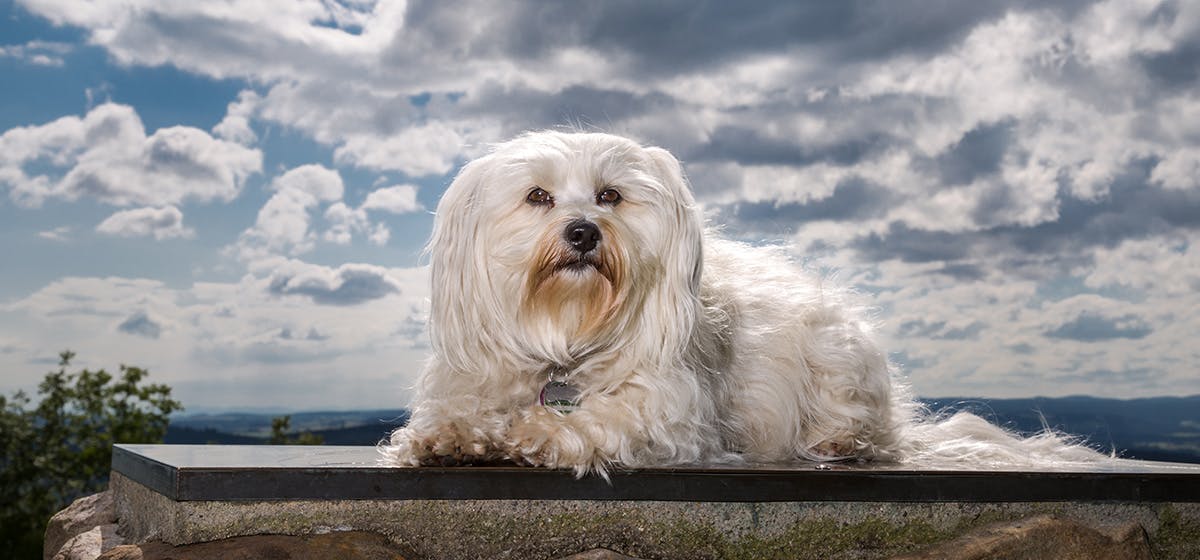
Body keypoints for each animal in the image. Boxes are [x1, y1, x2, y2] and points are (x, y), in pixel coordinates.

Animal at [386, 132, 1104, 477]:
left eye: (611, 195)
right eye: (538, 197)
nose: (584, 232)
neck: (564, 331)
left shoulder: (668, 417)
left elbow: (586, 423)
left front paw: (529, 433)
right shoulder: (471, 381)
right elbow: (457, 418)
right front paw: (449, 439)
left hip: (837, 355)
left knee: (862, 430)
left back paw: (840, 441)